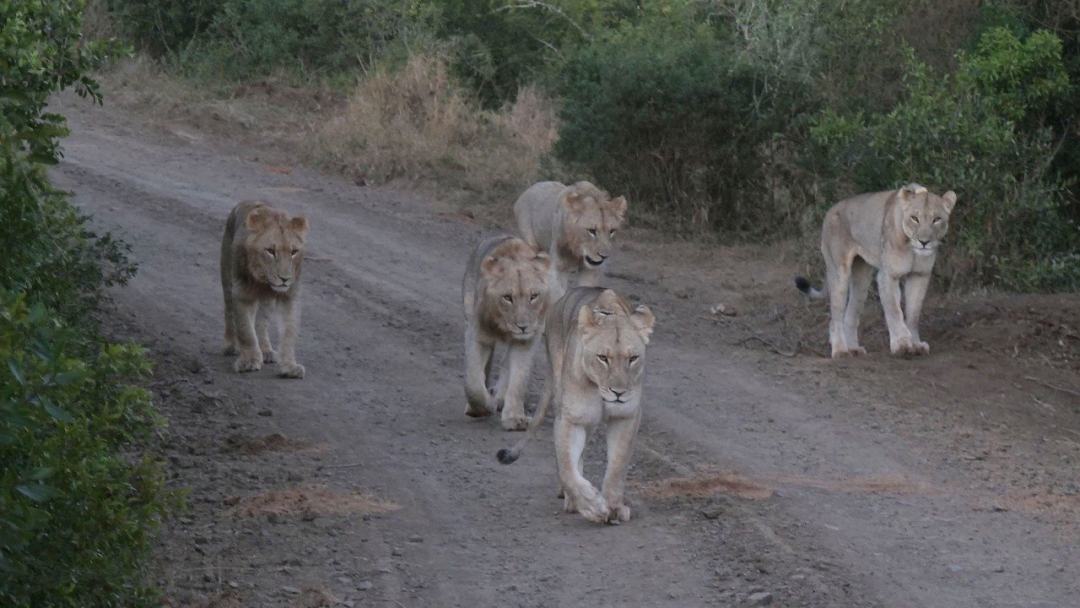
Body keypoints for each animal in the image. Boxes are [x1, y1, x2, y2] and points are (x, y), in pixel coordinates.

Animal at [217, 201, 306, 377]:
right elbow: (245, 330)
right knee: (229, 313)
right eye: (270, 251)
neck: (264, 281)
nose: (285, 279)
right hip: (228, 279)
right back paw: (230, 345)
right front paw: (250, 361)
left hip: (267, 302)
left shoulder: (289, 298)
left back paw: (266, 351)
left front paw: (289, 367)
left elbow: (289, 333)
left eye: (294, 252)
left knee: (261, 323)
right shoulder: (242, 294)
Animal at [460, 235, 552, 429]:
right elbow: (473, 381)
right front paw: (480, 408)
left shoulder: (526, 341)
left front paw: (515, 418)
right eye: (507, 297)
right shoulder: (478, 335)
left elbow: (519, 380)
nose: (523, 326)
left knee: (505, 366)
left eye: (533, 296)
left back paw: (500, 397)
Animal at [494, 287, 652, 524]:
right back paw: (570, 497)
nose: (618, 393)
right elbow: (568, 468)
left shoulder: (626, 417)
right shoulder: (571, 418)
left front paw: (614, 506)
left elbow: (617, 466)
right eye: (603, 358)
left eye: (633, 358)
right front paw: (592, 506)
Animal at [790, 183, 959, 358]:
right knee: (835, 317)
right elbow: (894, 311)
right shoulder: (888, 275)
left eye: (937, 219)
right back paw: (840, 351)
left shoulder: (920, 275)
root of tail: (830, 210)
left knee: (850, 314)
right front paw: (902, 345)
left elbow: (914, 313)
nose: (924, 242)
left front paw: (916, 344)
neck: (912, 248)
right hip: (839, 271)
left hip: (861, 278)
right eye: (914, 218)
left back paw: (854, 349)